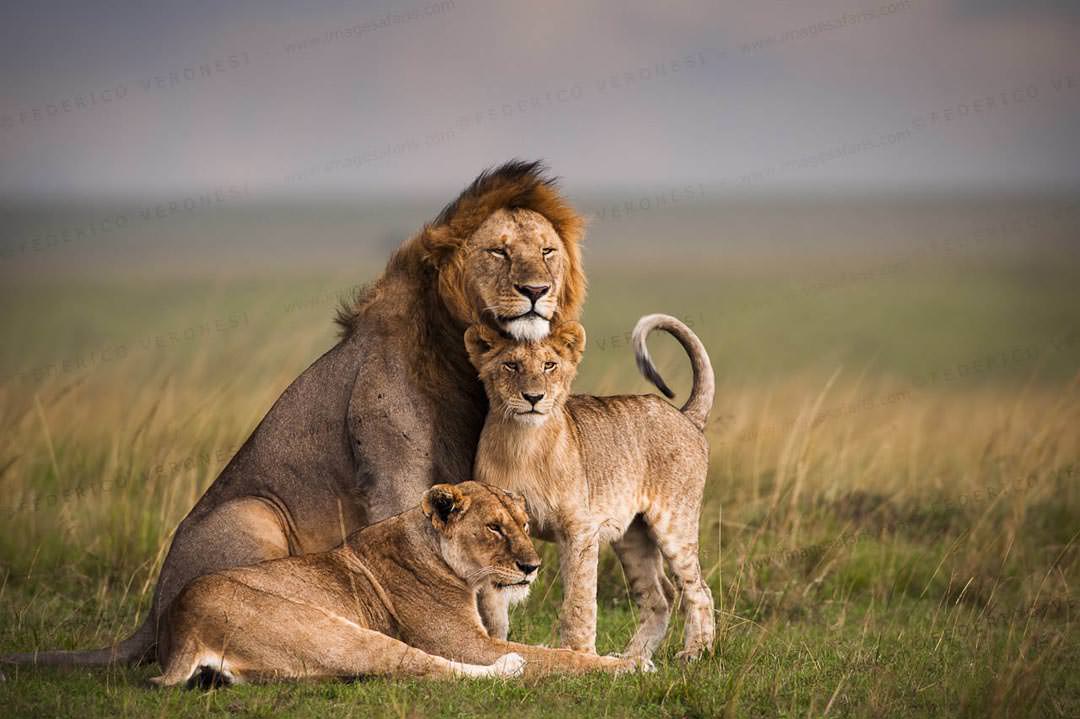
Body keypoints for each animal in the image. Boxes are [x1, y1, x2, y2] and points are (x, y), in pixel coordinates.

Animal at [3, 160, 586, 668]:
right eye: (498, 252)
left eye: (547, 252)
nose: (536, 291)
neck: (460, 355)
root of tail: (150, 617)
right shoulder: (394, 473)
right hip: (252, 513)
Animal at [150, 482, 645, 686]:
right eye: (494, 528)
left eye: (523, 524)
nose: (533, 566)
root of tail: (181, 628)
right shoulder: (466, 643)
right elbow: (557, 657)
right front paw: (627, 664)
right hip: (330, 630)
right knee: (421, 666)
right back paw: (509, 668)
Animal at [464, 314, 716, 661]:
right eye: (511, 365)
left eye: (550, 365)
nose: (533, 398)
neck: (523, 443)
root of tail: (685, 416)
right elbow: (492, 606)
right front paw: (495, 647)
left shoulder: (579, 530)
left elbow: (579, 601)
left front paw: (580, 654)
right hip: (632, 537)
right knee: (659, 597)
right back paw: (632, 659)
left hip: (675, 523)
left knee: (698, 590)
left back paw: (694, 652)